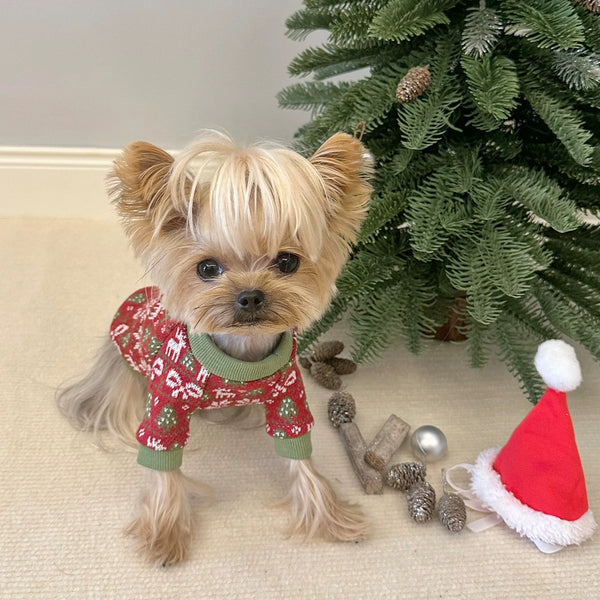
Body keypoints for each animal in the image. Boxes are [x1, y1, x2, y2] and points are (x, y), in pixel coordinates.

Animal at [57, 129, 376, 564]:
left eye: (287, 262)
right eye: (207, 268)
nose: (251, 296)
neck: (241, 355)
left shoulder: (288, 397)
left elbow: (301, 457)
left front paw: (331, 517)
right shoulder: (167, 398)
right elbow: (163, 460)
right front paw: (165, 534)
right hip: (122, 369)